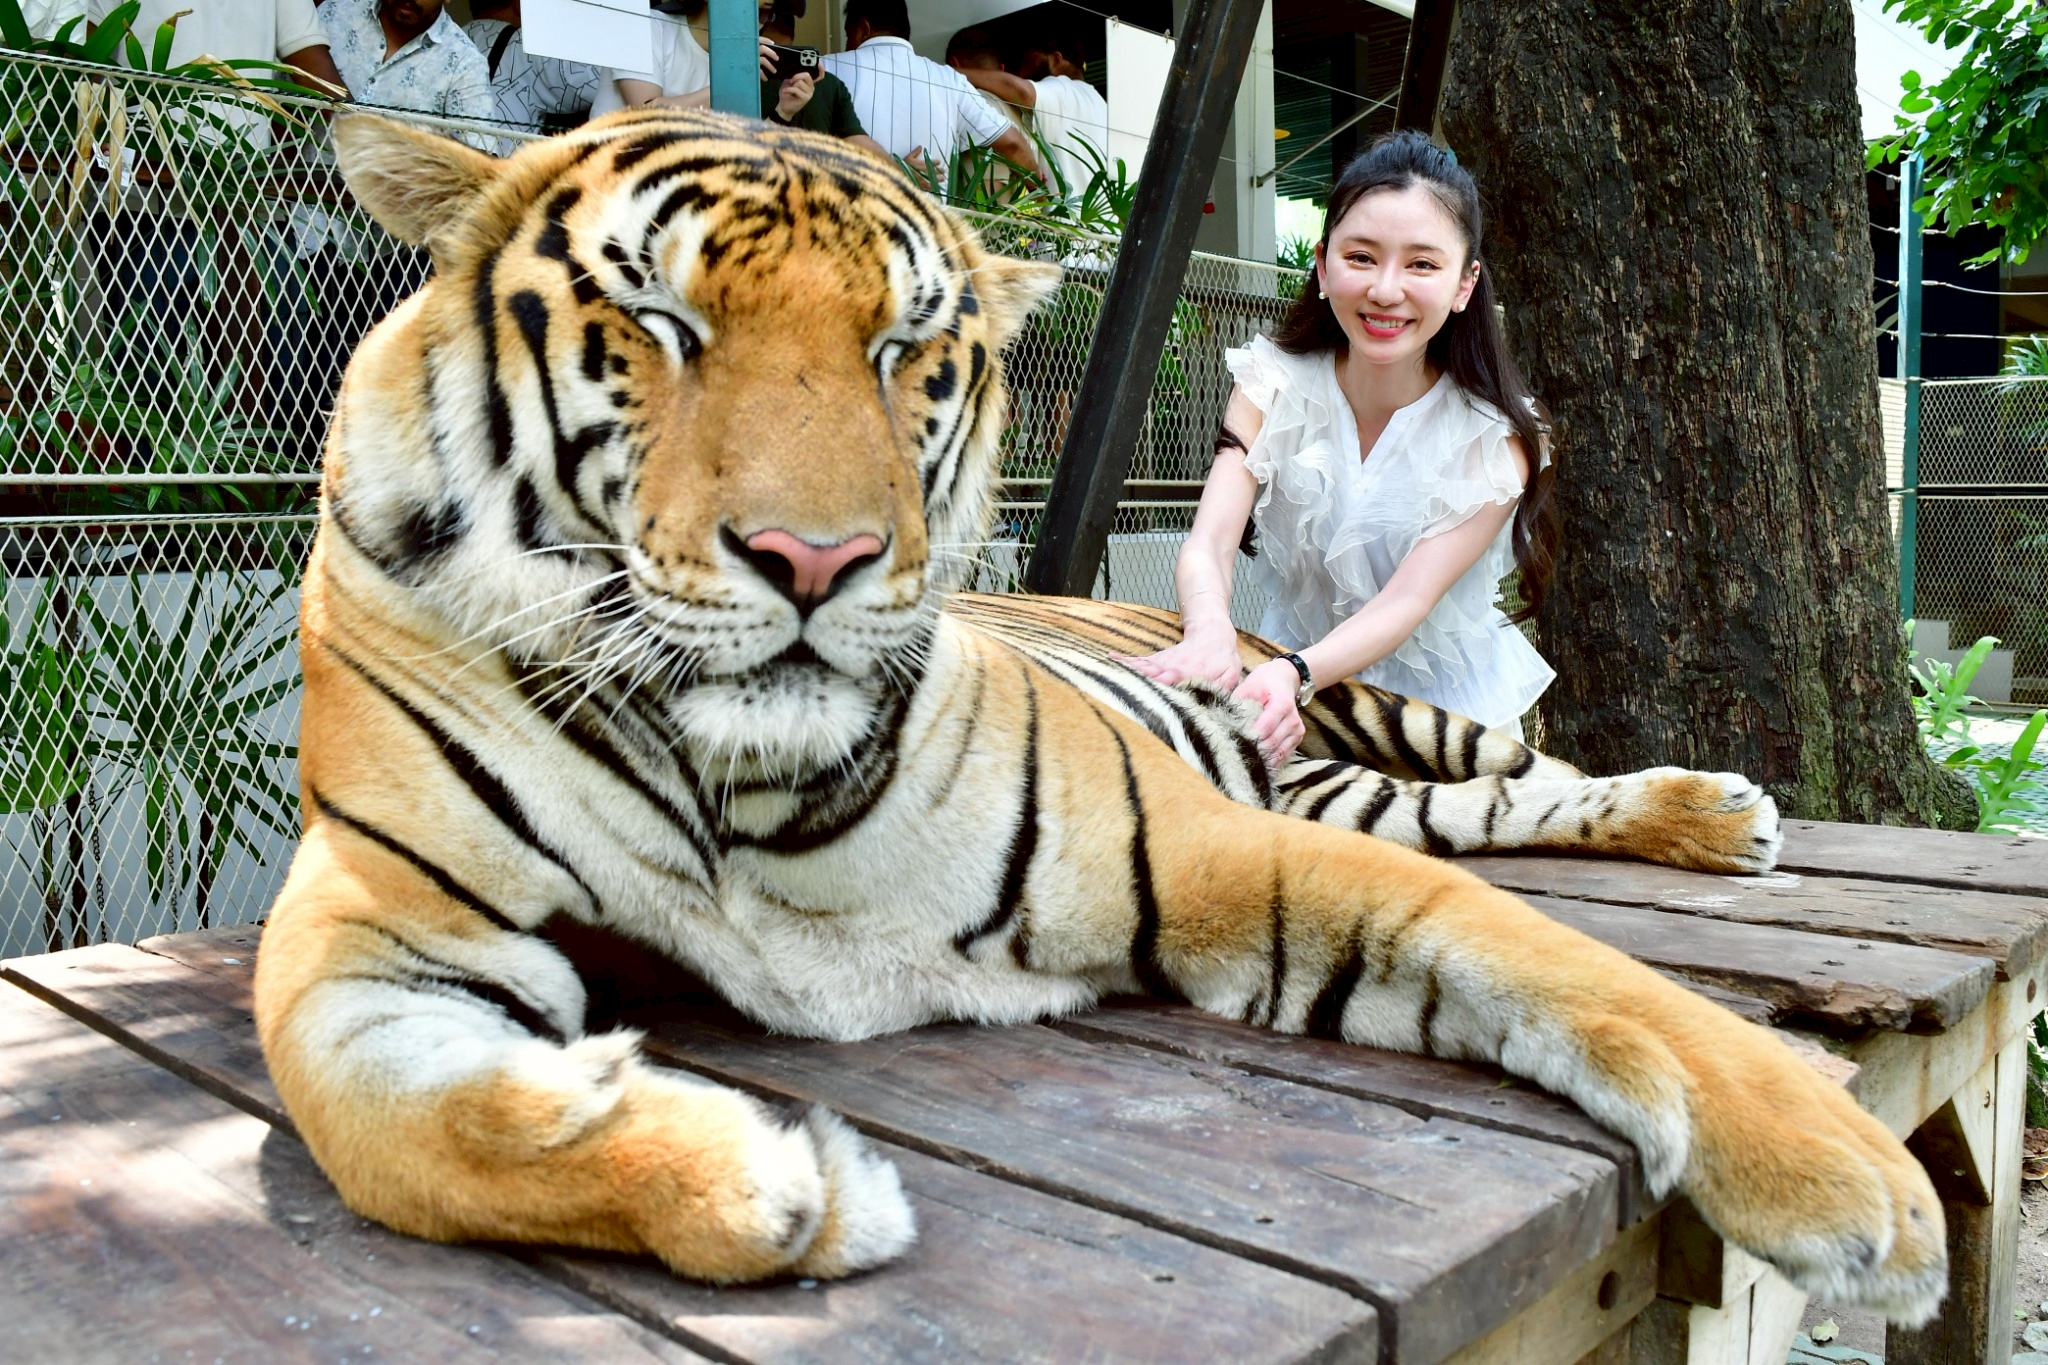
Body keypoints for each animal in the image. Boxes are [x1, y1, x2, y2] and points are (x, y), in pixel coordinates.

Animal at [251, 108, 1946, 1324]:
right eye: (663, 323)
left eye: (906, 352)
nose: (817, 559)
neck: (735, 775)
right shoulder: (375, 922)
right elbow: (399, 1132)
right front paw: (774, 1190)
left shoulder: (1209, 850)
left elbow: (1574, 970)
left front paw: (1859, 1186)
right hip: (1351, 789)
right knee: (1495, 812)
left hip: (1369, 707)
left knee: (1532, 770)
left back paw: (1723, 814)